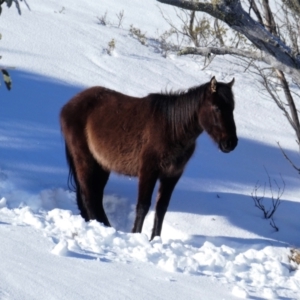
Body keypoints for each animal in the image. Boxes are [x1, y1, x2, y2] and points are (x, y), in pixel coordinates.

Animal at [59, 77, 238, 239]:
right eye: (217, 108)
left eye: (232, 109)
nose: (231, 143)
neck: (173, 129)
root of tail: (68, 106)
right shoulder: (148, 171)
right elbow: (143, 206)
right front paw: (136, 235)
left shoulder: (172, 175)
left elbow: (161, 208)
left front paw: (155, 239)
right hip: (85, 160)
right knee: (89, 195)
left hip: (102, 166)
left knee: (95, 196)